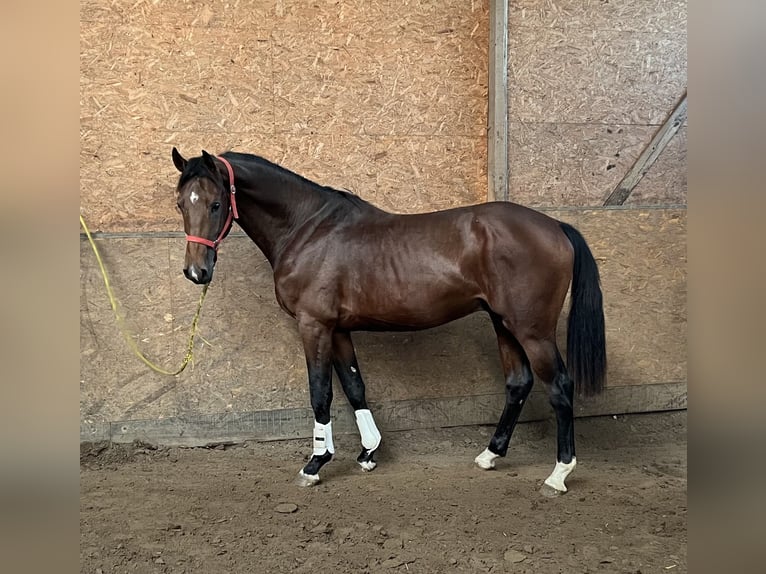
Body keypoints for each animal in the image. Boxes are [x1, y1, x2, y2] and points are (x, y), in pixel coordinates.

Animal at [172, 147, 608, 496]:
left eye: (215, 204)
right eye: (181, 204)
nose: (197, 272)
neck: (309, 229)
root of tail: (556, 227)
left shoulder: (314, 325)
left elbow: (320, 393)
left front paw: (315, 464)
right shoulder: (339, 329)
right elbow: (354, 386)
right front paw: (368, 452)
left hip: (532, 331)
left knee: (559, 386)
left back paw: (558, 474)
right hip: (503, 324)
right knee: (518, 383)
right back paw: (490, 455)